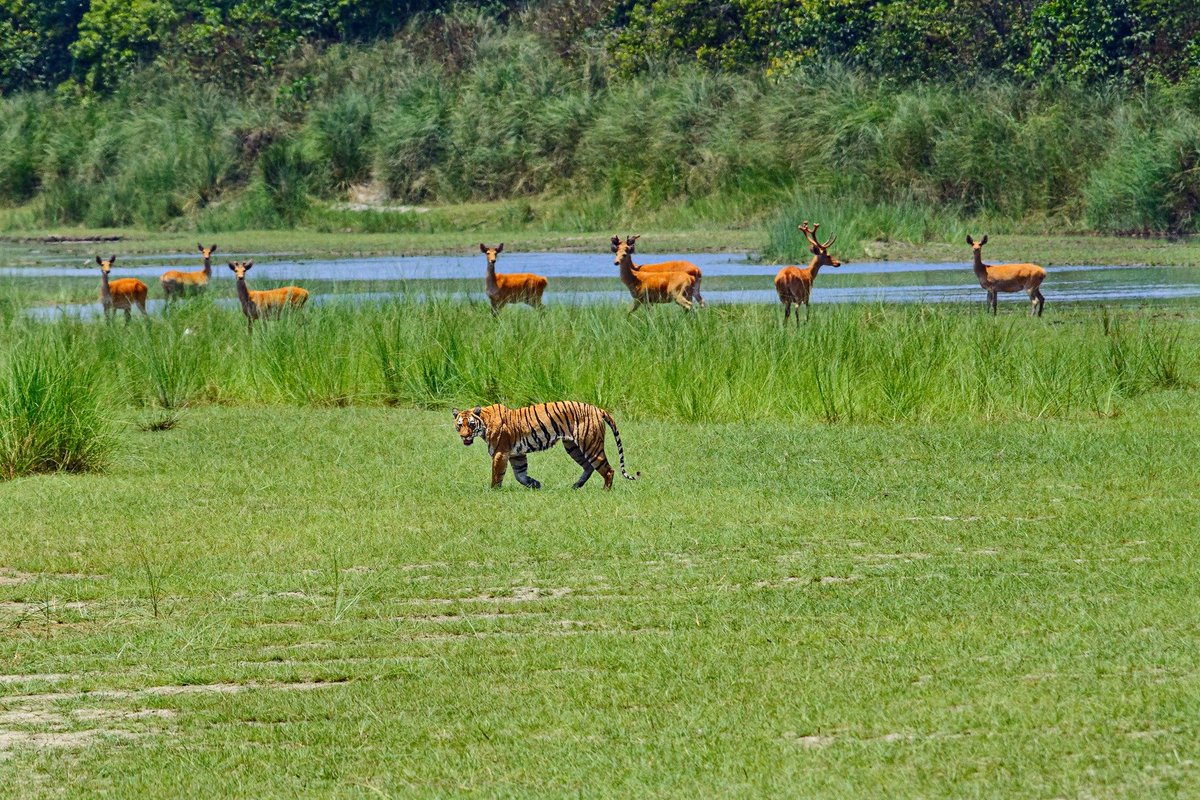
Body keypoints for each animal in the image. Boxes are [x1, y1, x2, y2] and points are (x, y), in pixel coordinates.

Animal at [452, 401, 640, 489]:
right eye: (460, 425)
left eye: (471, 424)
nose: (464, 436)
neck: (484, 421)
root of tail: (597, 409)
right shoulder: (516, 454)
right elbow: (520, 475)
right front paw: (535, 484)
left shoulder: (500, 453)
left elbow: (497, 475)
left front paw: (493, 491)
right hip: (572, 446)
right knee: (588, 467)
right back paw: (576, 486)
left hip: (590, 444)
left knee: (607, 469)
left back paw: (604, 491)